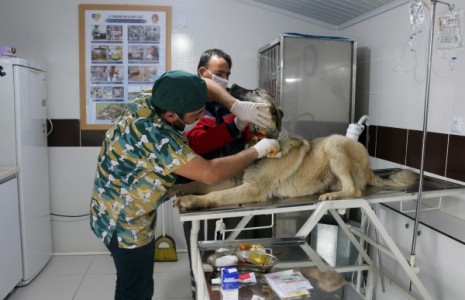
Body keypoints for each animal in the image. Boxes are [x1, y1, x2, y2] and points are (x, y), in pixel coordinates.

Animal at [173, 83, 416, 212]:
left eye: (255, 91)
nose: (230, 85)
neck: (260, 138)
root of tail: (369, 170)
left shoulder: (252, 188)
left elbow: (215, 195)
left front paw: (191, 200)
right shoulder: (235, 180)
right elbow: (201, 183)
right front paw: (178, 189)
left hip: (335, 142)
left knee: (354, 190)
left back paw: (332, 196)